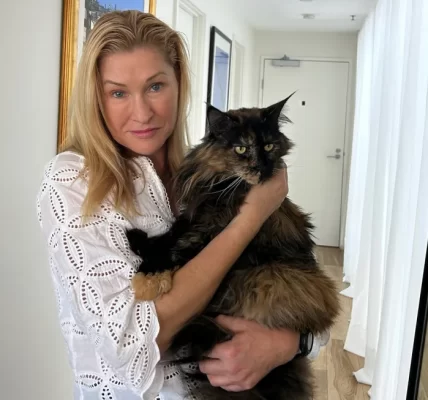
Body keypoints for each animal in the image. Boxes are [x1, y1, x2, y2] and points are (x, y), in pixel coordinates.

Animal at [126, 94, 342, 400]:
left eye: (269, 146)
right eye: (241, 148)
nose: (261, 168)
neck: (222, 184)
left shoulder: (211, 229)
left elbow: (178, 250)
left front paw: (149, 274)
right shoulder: (195, 215)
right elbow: (169, 236)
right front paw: (138, 242)